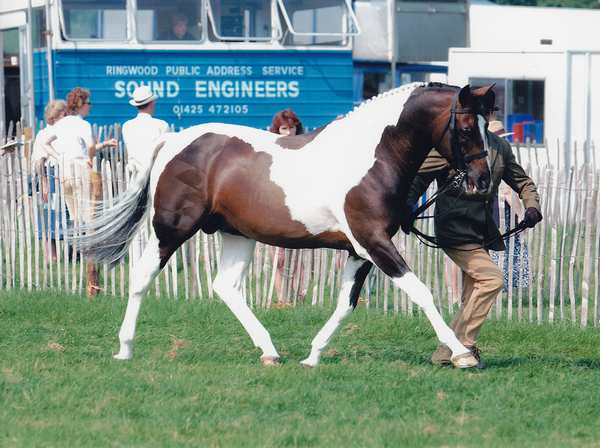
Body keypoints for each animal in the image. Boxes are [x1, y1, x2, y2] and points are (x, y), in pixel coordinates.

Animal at [77, 82, 494, 370]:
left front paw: (313, 356)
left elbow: (345, 304)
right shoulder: (374, 243)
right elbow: (421, 293)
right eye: (467, 128)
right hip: (171, 229)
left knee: (226, 287)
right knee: (142, 276)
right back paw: (125, 348)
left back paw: (270, 351)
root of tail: (173, 140)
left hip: (236, 235)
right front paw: (462, 354)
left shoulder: (360, 251)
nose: (482, 180)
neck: (371, 156)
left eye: (487, 126)